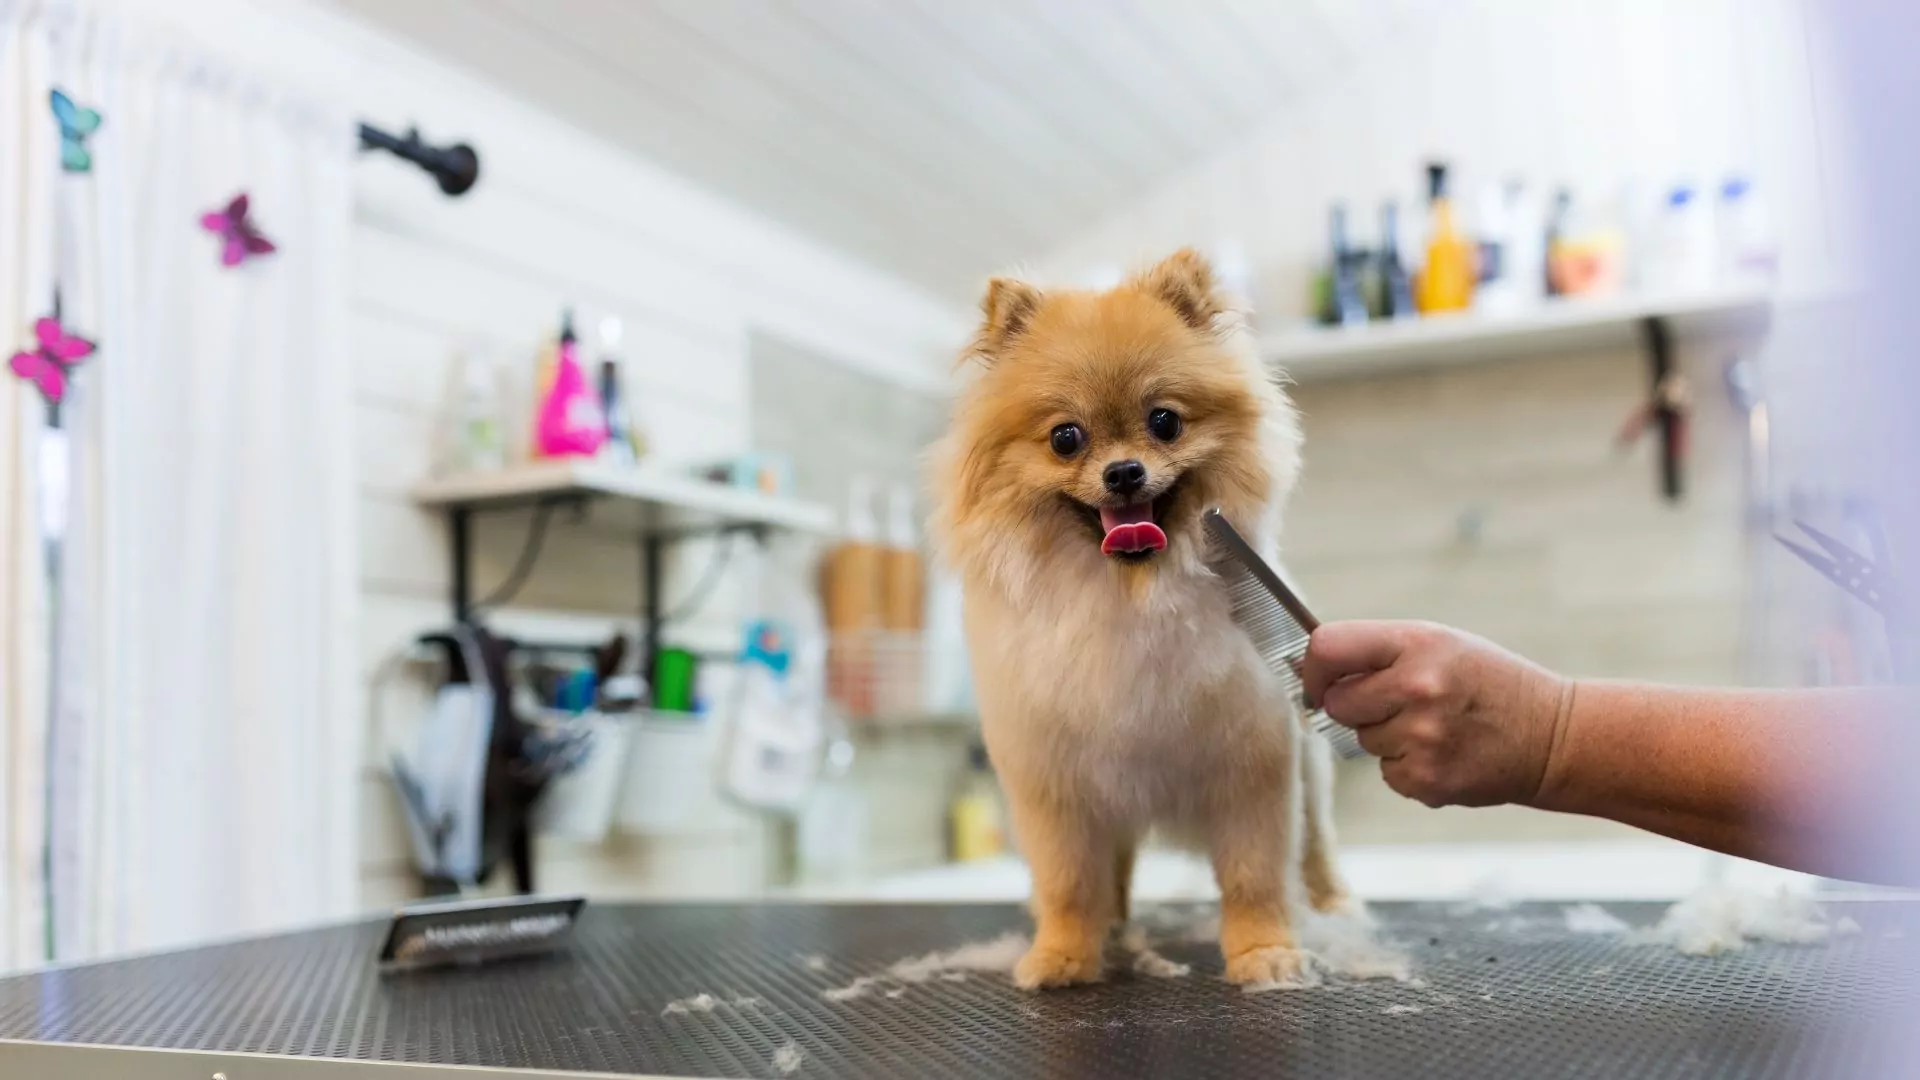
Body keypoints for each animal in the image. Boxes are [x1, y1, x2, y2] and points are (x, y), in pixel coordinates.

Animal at [929, 247, 1351, 991]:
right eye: (1066, 438)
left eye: (1165, 422)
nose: (1124, 472)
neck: (1130, 594)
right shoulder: (1059, 789)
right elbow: (1069, 882)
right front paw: (1065, 954)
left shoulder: (1253, 769)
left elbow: (1256, 875)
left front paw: (1263, 954)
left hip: (1311, 769)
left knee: (1317, 846)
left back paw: (1333, 903)